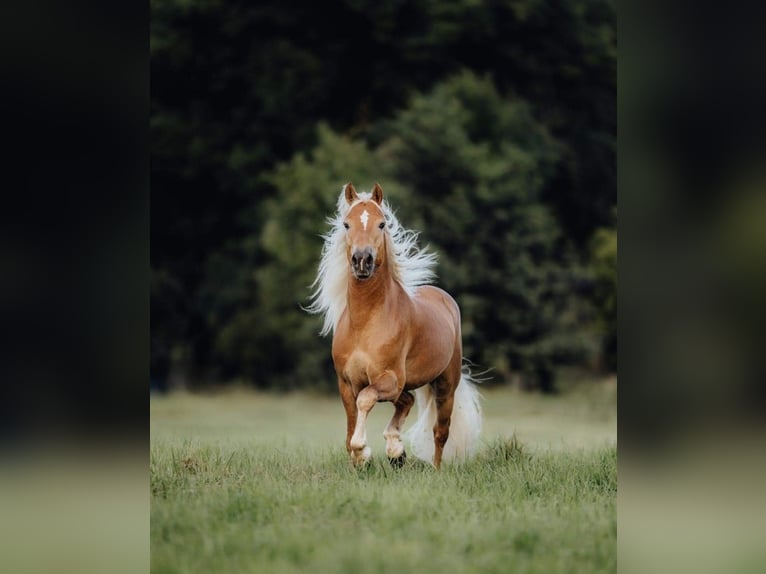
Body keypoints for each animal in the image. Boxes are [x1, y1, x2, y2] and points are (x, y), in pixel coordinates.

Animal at [308, 183, 484, 468]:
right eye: (346, 224)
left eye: (381, 224)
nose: (362, 260)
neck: (364, 323)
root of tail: (444, 298)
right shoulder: (346, 383)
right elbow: (350, 427)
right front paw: (362, 460)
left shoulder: (388, 378)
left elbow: (365, 400)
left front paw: (363, 450)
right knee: (407, 401)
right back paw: (396, 451)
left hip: (445, 384)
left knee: (440, 431)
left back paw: (433, 468)